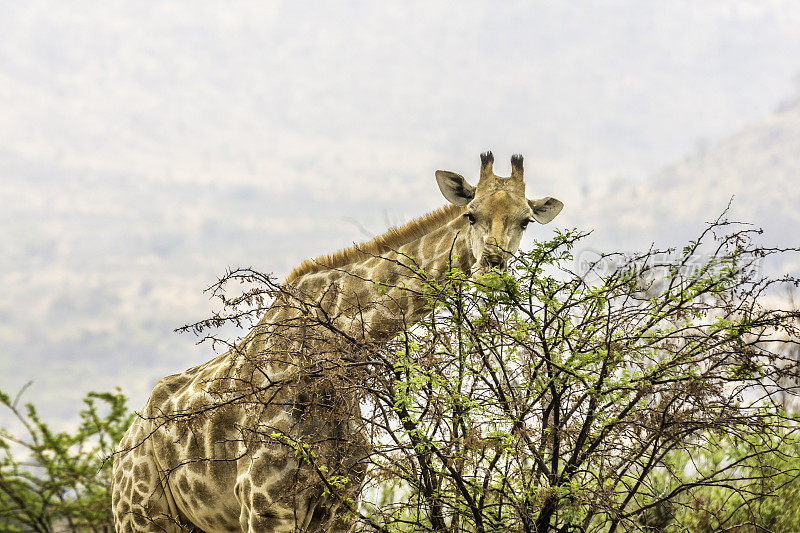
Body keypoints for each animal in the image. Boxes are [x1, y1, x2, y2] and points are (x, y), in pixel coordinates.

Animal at [111, 151, 564, 532]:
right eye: (471, 215)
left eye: (525, 221)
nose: (493, 268)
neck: (333, 351)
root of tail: (125, 445)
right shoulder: (264, 504)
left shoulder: (340, 504)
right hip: (141, 517)